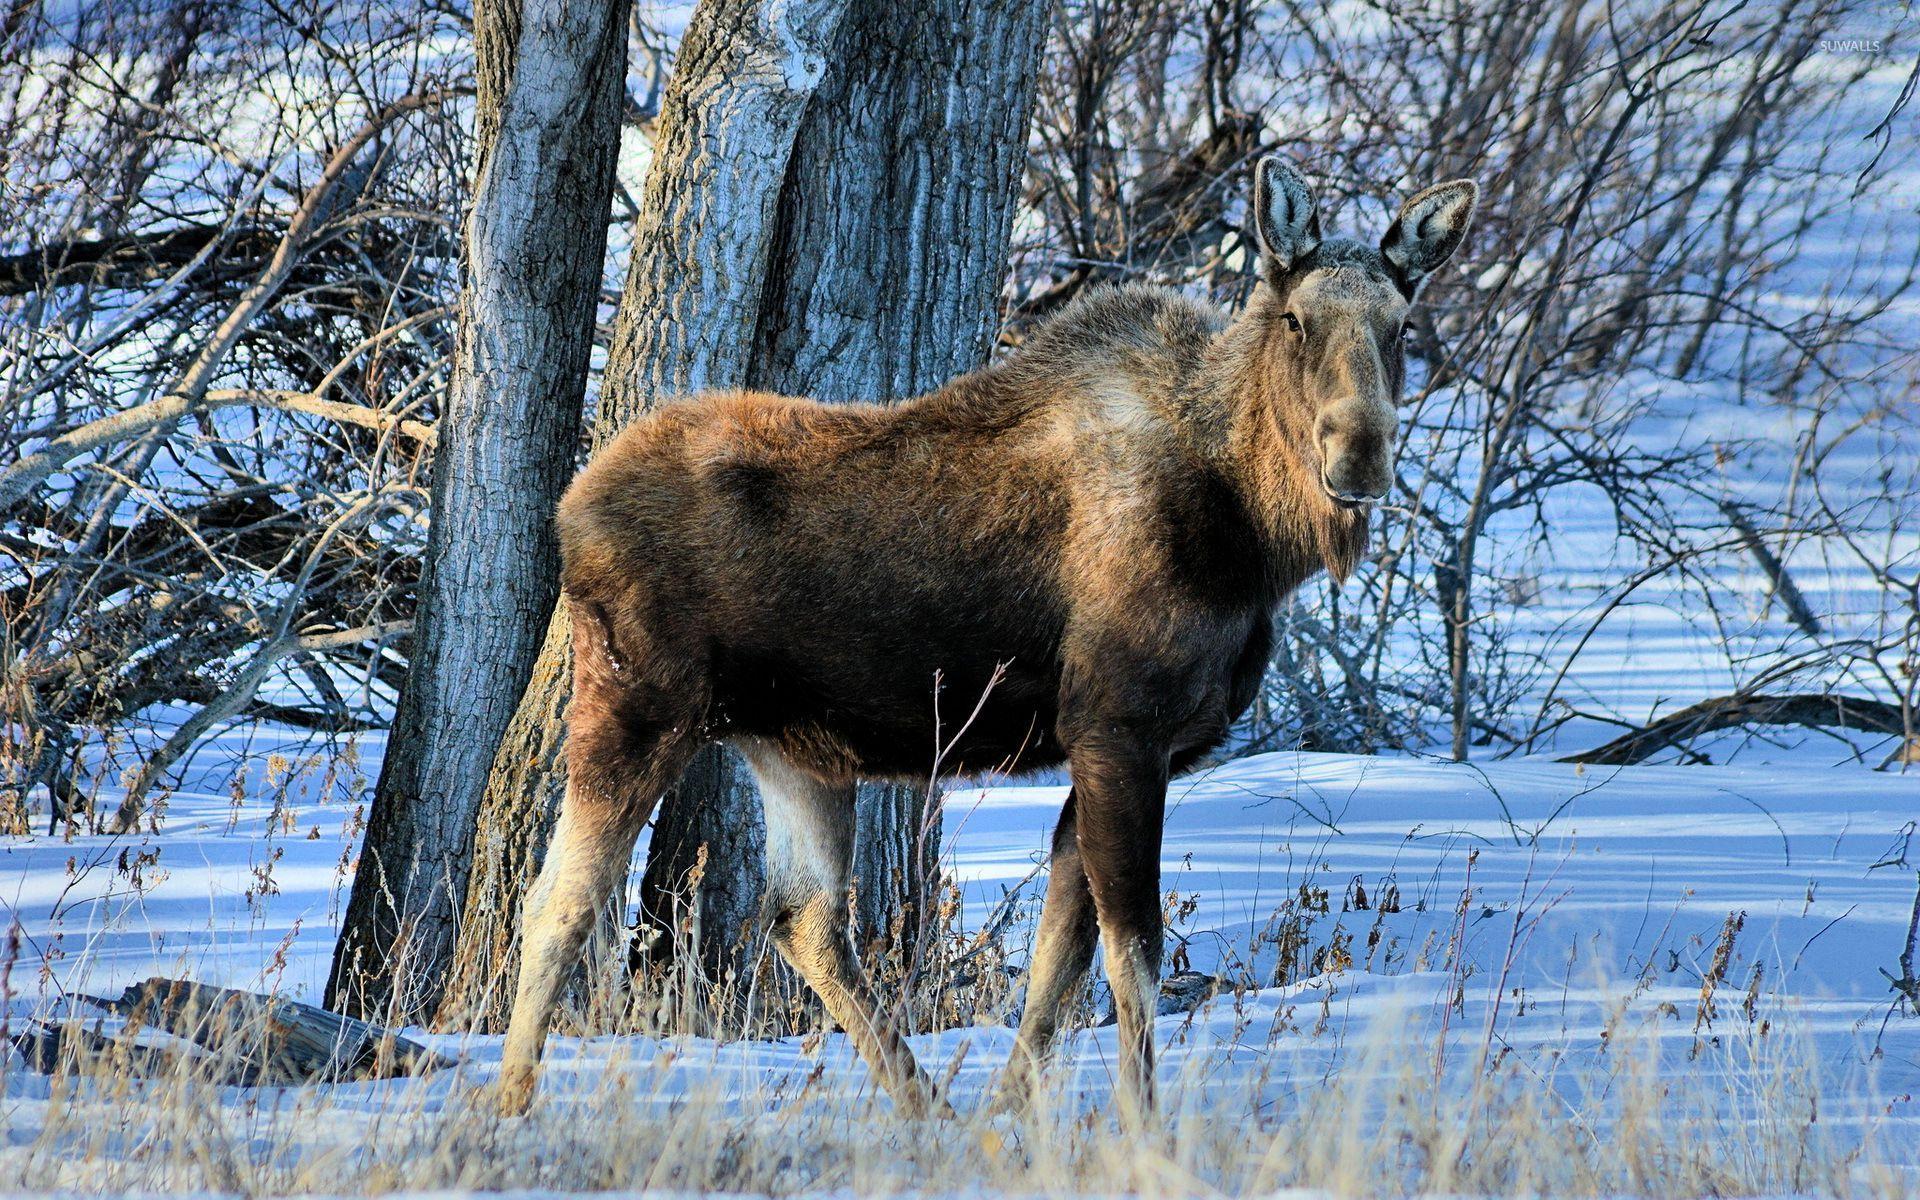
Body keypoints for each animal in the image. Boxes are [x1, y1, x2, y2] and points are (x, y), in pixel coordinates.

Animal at [495, 155, 1476, 1120]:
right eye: (1298, 320)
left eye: (1401, 325)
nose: (1360, 454)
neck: (1253, 539)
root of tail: (570, 509)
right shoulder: (1119, 728)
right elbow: (1132, 955)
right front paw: (1143, 1131)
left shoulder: (1110, 747)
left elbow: (1058, 962)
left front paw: (1007, 1122)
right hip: (636, 704)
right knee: (559, 900)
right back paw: (508, 1103)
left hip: (791, 749)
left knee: (802, 919)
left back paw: (928, 1110)